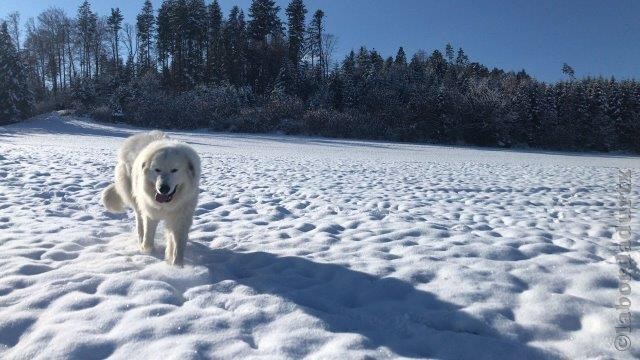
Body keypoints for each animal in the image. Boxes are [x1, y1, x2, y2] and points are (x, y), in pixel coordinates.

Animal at [101, 131, 200, 266]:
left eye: (174, 170)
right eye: (157, 170)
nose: (163, 188)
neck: (166, 205)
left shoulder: (181, 218)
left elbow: (178, 244)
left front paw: (176, 265)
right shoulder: (150, 214)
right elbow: (149, 235)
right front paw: (148, 254)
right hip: (136, 200)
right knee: (140, 222)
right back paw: (141, 239)